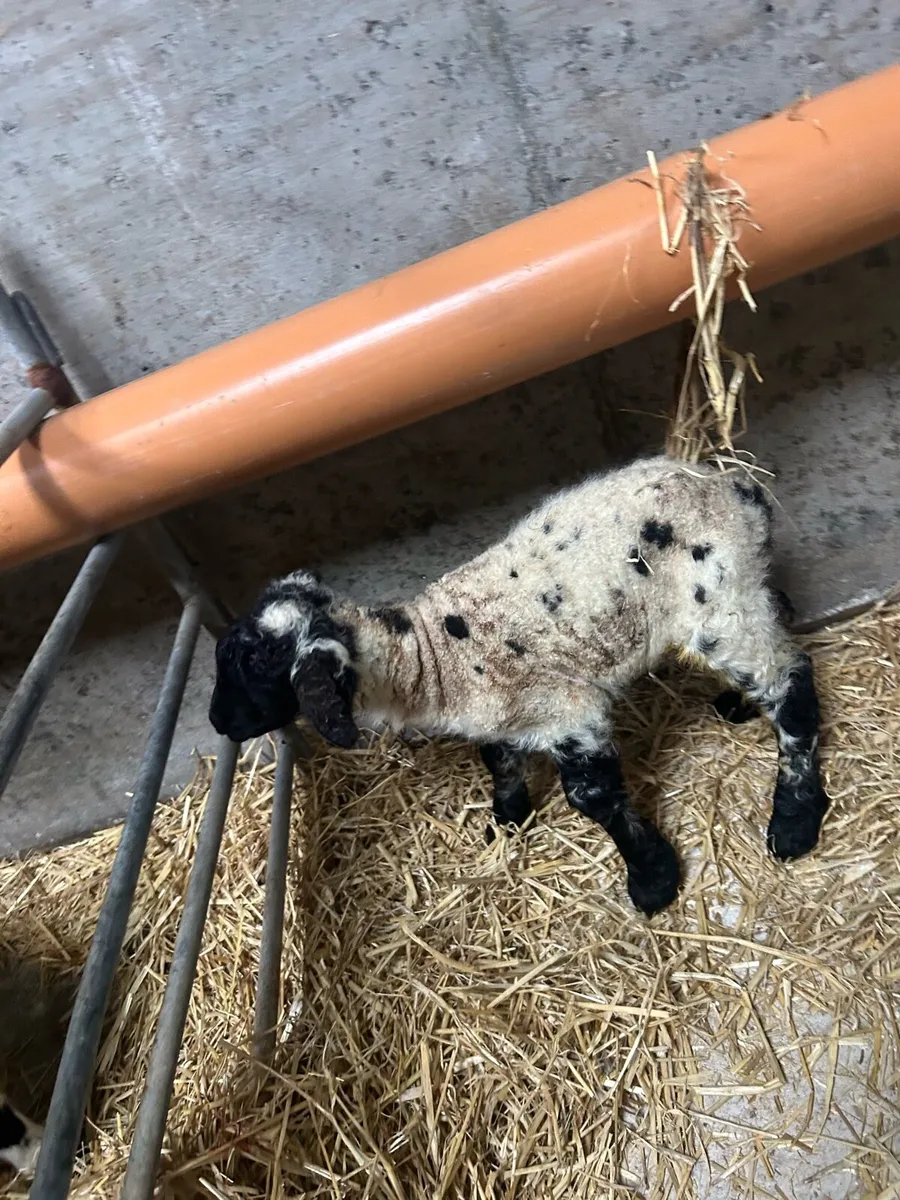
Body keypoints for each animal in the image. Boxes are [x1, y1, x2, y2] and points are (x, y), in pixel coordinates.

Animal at [209, 455, 830, 916]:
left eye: (256, 664)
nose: (219, 722)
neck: (434, 657)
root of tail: (735, 485)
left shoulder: (570, 713)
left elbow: (593, 798)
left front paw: (653, 878)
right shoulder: (501, 712)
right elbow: (496, 755)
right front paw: (508, 816)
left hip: (717, 606)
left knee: (791, 684)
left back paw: (795, 818)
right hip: (738, 593)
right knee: (779, 615)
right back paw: (737, 704)